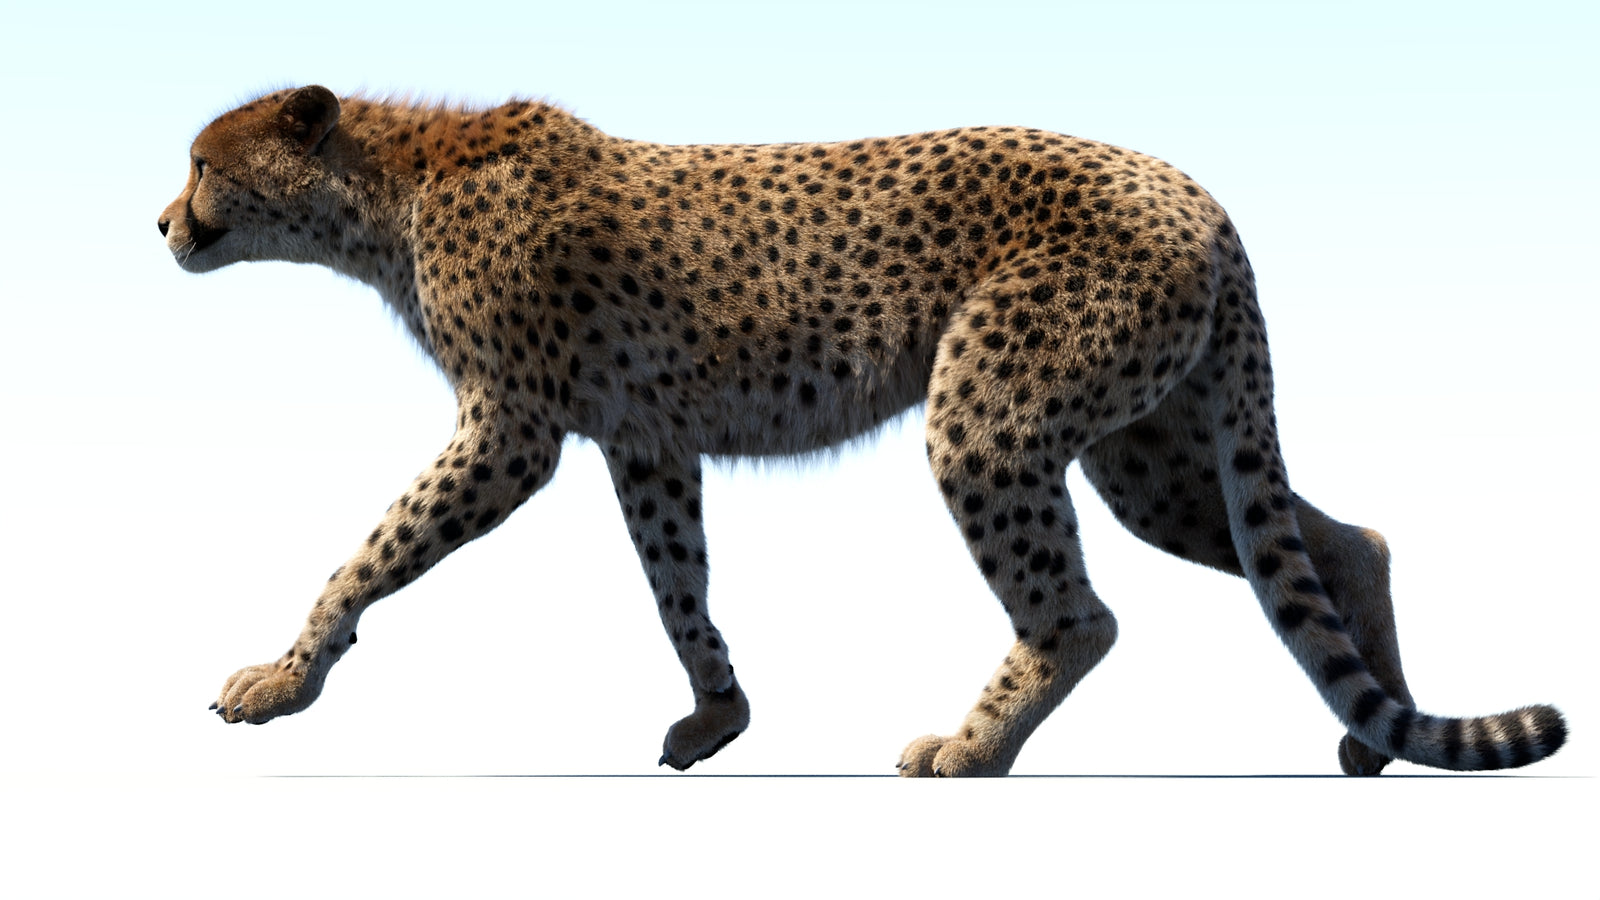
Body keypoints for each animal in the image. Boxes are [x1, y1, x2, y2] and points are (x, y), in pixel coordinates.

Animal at [159, 85, 1566, 776]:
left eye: (204, 164)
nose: (163, 222)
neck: (385, 189)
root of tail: (1195, 191)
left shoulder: (513, 428)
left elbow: (369, 550)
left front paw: (281, 678)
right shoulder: (645, 440)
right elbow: (677, 584)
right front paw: (716, 716)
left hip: (991, 413)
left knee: (1080, 615)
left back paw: (972, 749)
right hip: (1151, 450)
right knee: (1343, 541)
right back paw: (1370, 729)